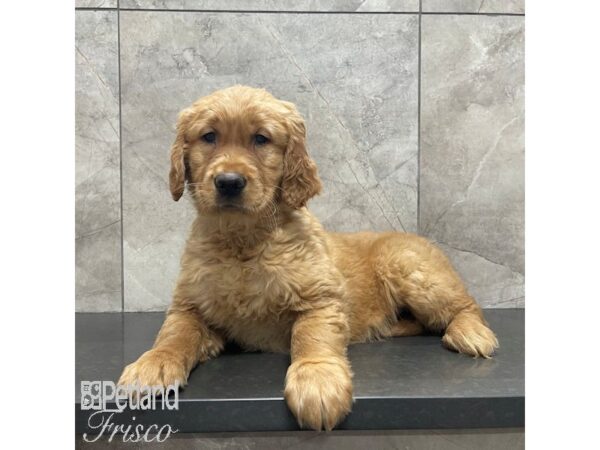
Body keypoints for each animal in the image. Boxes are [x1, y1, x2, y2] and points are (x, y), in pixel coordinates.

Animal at [117, 85, 496, 432]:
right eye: (208, 136)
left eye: (261, 139)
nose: (229, 182)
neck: (244, 243)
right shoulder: (190, 306)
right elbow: (174, 334)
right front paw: (151, 366)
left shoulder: (320, 299)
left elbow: (312, 337)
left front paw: (318, 383)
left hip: (411, 268)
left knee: (466, 305)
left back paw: (471, 334)